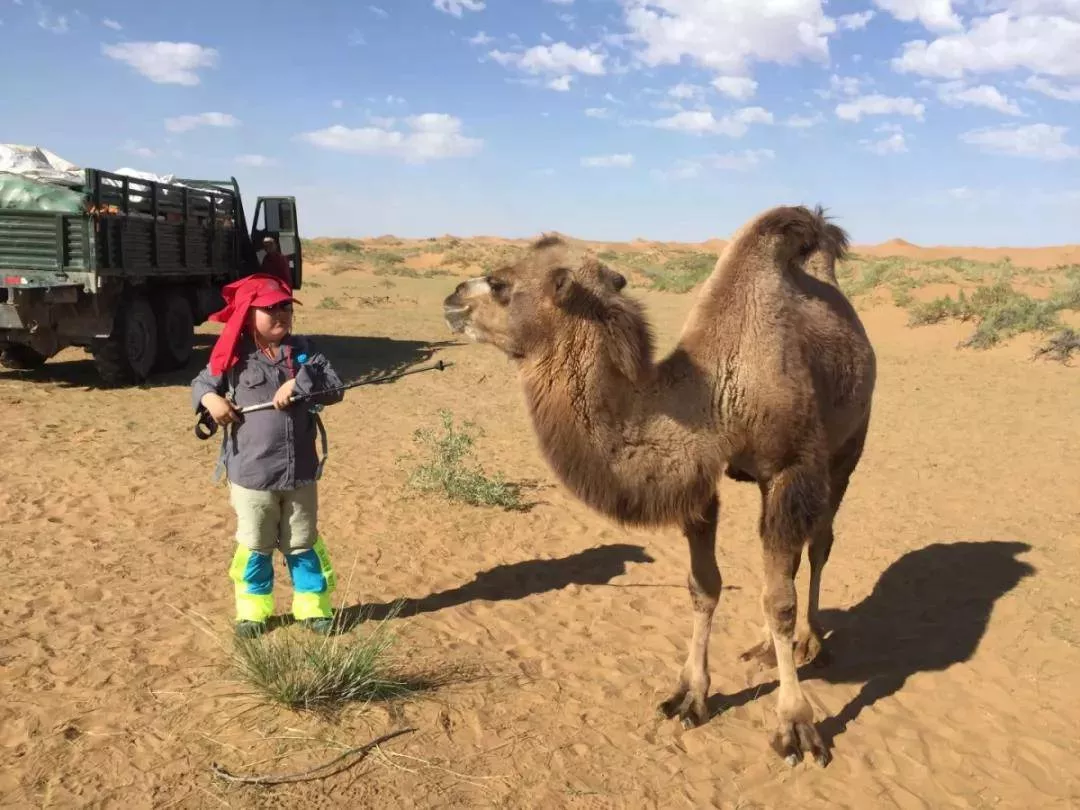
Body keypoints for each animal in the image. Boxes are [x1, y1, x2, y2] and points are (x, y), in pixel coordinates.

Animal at [441, 204, 877, 767]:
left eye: (499, 283)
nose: (452, 297)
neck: (716, 397)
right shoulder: (700, 484)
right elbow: (704, 586)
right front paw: (690, 695)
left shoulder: (790, 468)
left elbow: (780, 600)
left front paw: (796, 726)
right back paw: (763, 646)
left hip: (847, 447)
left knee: (819, 545)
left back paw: (810, 643)